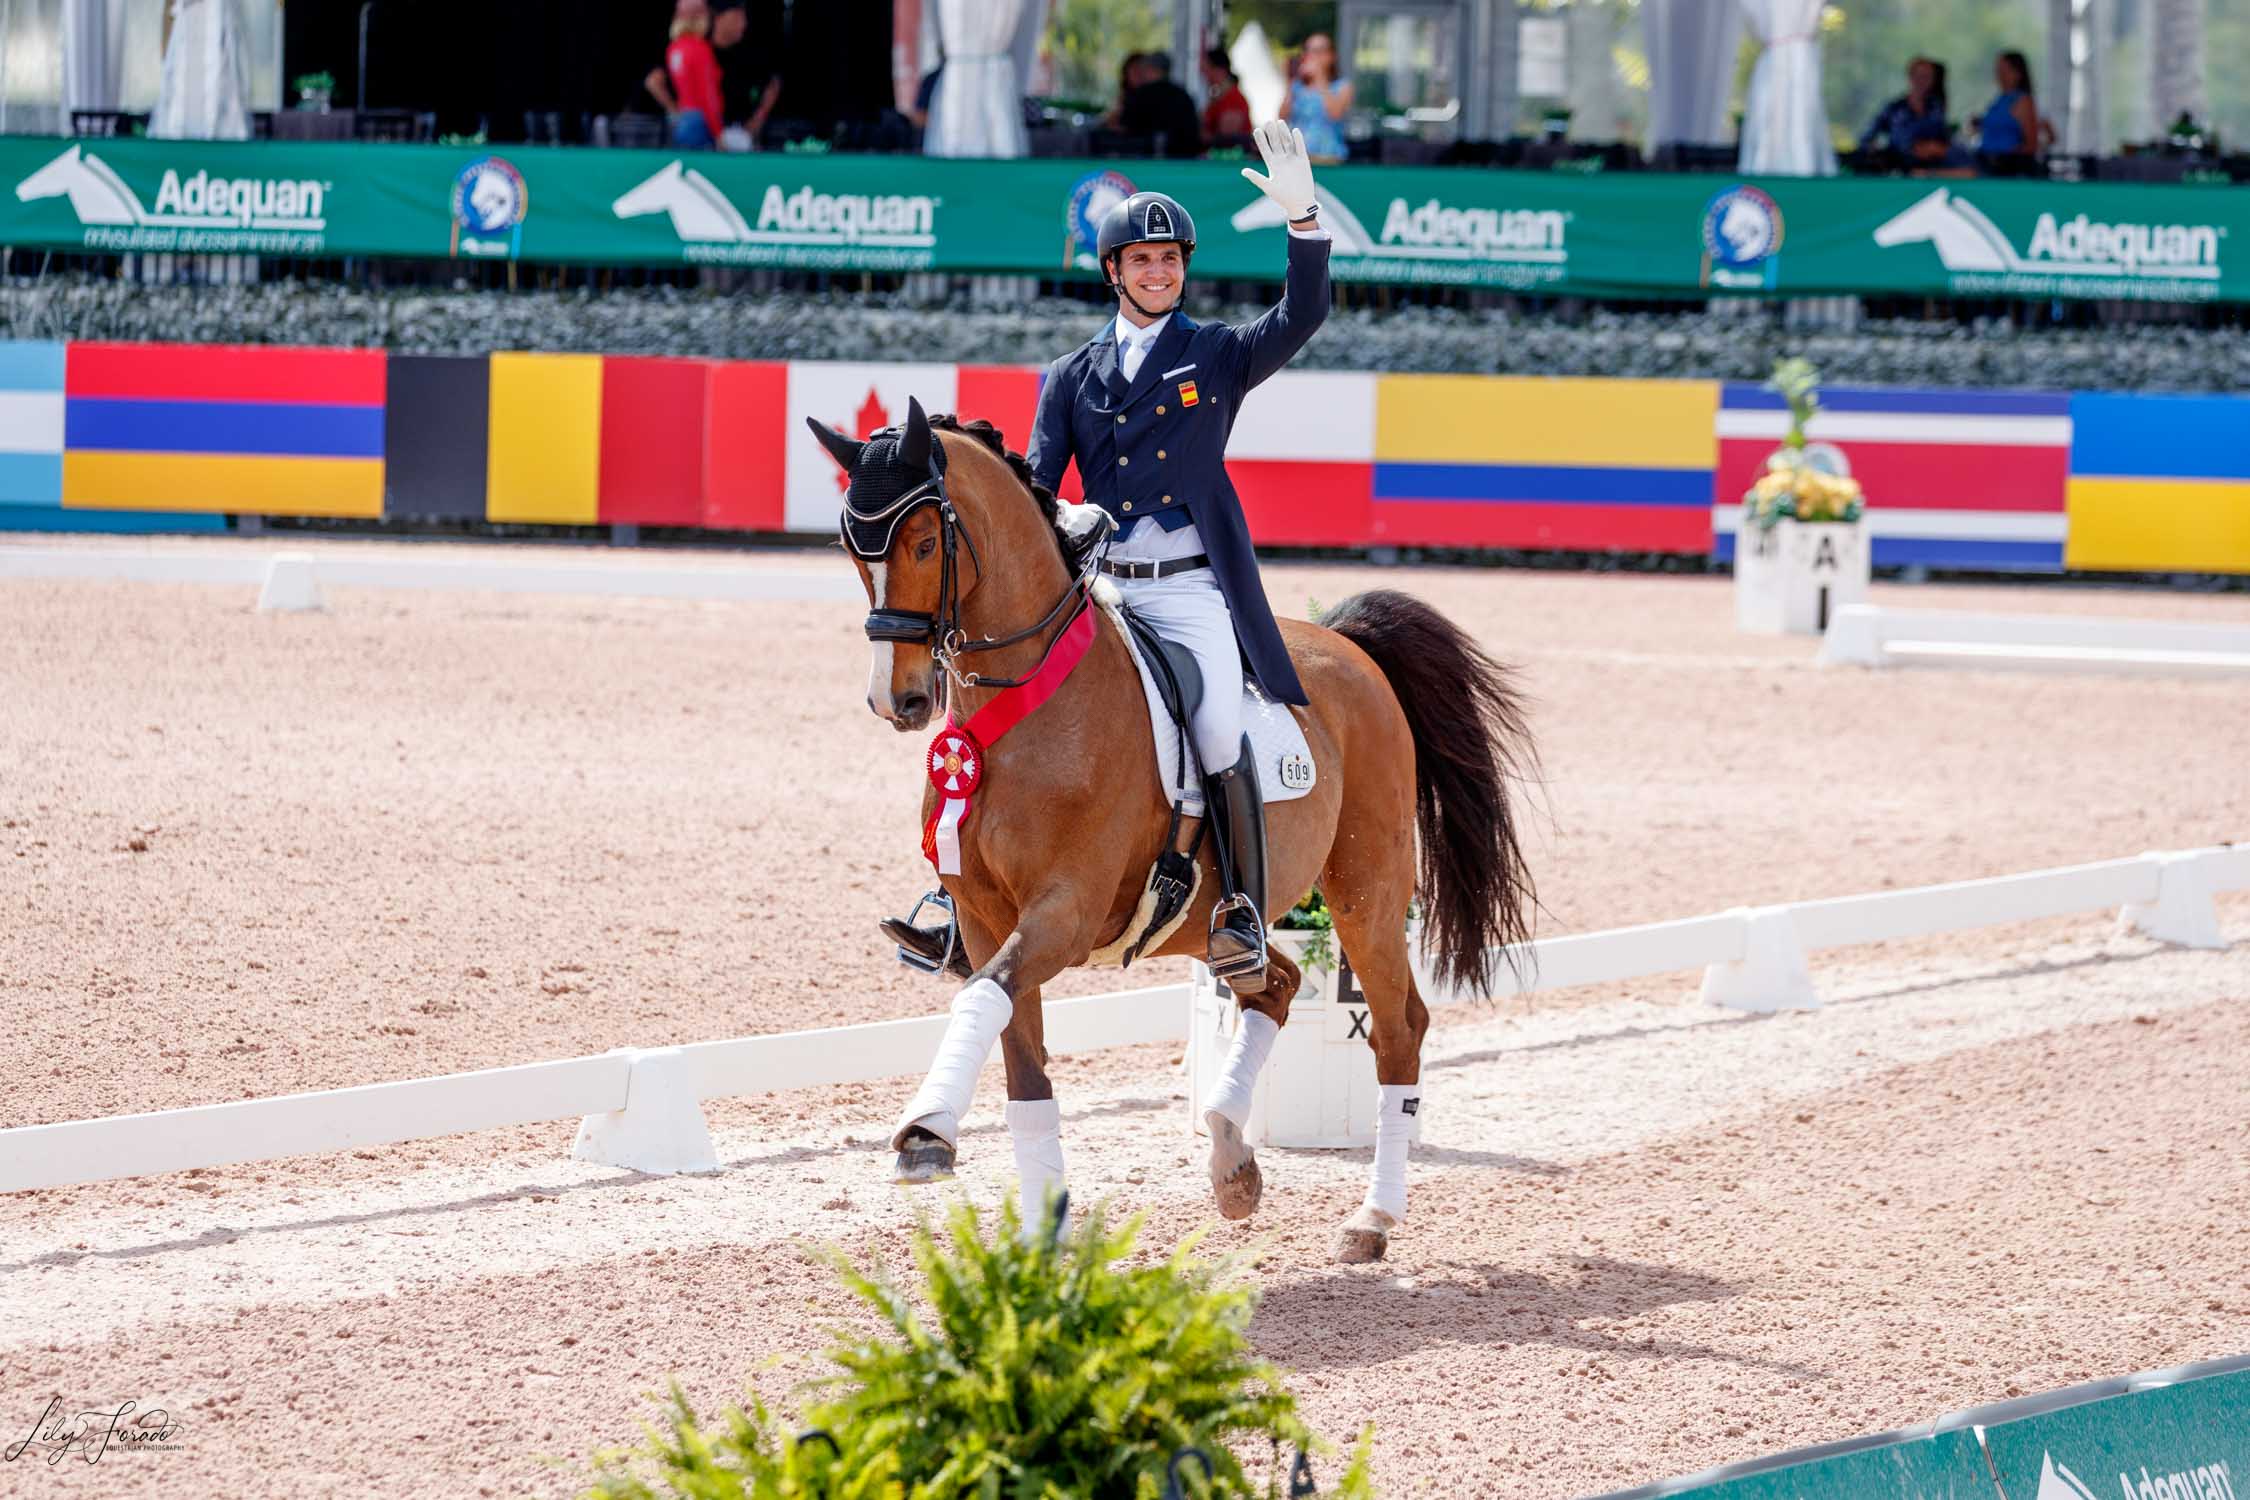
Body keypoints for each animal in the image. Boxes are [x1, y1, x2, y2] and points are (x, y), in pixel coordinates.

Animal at [805, 402, 1530, 1268]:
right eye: (852, 549)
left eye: (921, 543)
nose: (901, 700)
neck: (1031, 703)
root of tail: (1349, 645)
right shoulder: (984, 921)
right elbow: (1020, 1066)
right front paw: (1042, 1239)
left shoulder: (1065, 913)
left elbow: (981, 1001)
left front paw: (926, 1133)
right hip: (1218, 921)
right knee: (1276, 984)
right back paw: (1232, 1163)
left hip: (1367, 893)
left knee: (1397, 1029)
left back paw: (1371, 1218)